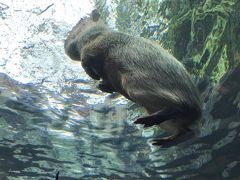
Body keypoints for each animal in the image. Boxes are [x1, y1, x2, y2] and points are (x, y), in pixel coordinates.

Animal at [64, 9, 202, 147]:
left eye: (81, 21)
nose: (65, 42)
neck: (102, 32)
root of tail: (197, 111)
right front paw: (102, 85)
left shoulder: (98, 42)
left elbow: (87, 58)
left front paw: (94, 76)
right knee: (187, 131)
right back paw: (160, 141)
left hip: (136, 85)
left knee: (179, 107)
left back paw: (143, 122)